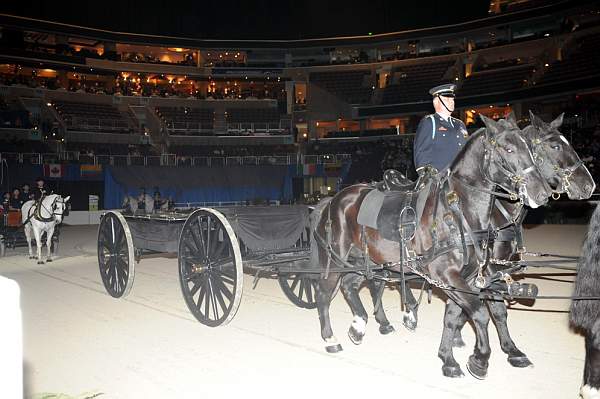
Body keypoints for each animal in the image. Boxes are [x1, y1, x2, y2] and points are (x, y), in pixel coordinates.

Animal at [312, 114, 552, 380]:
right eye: (508, 148)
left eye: (529, 148)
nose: (542, 193)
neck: (456, 212)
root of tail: (333, 199)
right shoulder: (446, 275)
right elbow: (480, 312)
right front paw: (480, 360)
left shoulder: (466, 279)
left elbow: (454, 316)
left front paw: (448, 359)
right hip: (335, 260)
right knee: (324, 292)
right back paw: (330, 338)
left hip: (367, 261)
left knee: (351, 286)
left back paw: (360, 325)